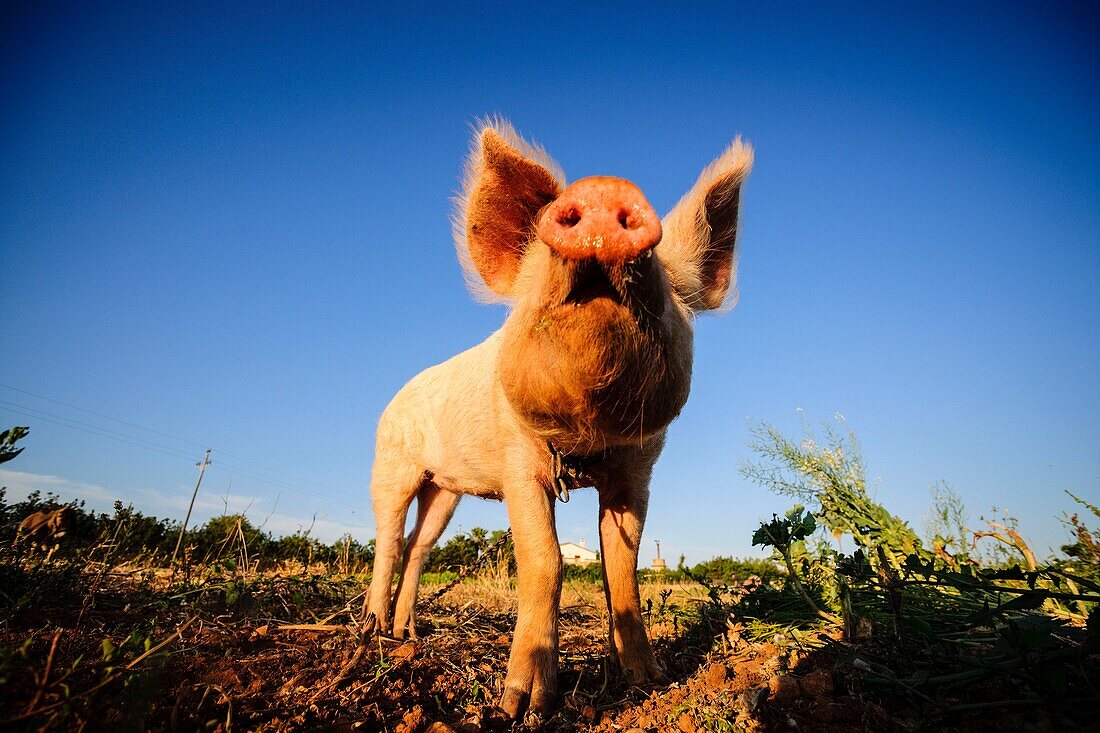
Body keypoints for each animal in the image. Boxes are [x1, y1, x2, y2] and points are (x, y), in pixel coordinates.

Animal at [365, 117, 752, 717]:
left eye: (667, 286)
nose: (604, 189)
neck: (584, 441)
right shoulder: (518, 465)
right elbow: (545, 560)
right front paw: (521, 707)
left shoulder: (637, 472)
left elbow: (622, 568)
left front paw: (649, 680)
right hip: (391, 463)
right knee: (386, 539)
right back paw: (373, 633)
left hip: (445, 489)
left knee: (419, 545)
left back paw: (407, 635)